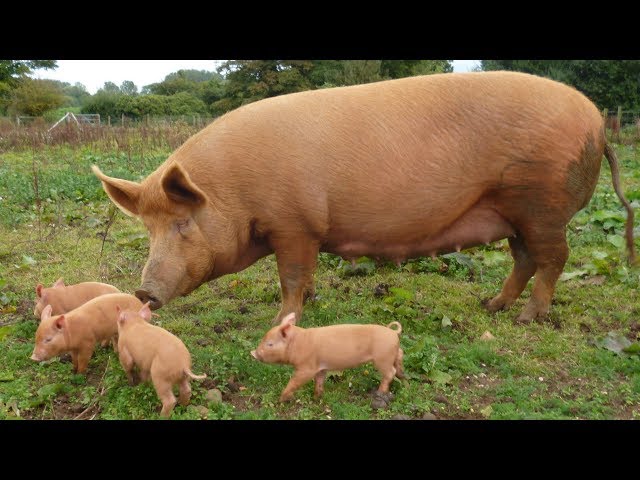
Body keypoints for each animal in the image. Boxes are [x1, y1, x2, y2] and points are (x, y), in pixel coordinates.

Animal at [92, 71, 637, 326]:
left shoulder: (295, 224)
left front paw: (282, 319)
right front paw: (310, 301)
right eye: (148, 229)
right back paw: (490, 306)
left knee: (554, 258)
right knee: (525, 259)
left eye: (182, 224)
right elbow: (304, 276)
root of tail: (596, 121)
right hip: (513, 210)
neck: (233, 190)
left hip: (542, 201)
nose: (143, 291)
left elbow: (291, 276)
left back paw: (529, 317)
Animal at [251, 313, 405, 402]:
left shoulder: (306, 367)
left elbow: (295, 381)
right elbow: (319, 381)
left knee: (390, 373)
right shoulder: (321, 368)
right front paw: (317, 397)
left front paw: (282, 399)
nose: (253, 353)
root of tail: (393, 332)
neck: (298, 343)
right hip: (391, 354)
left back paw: (380, 392)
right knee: (400, 356)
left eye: (270, 344)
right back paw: (403, 376)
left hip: (382, 358)